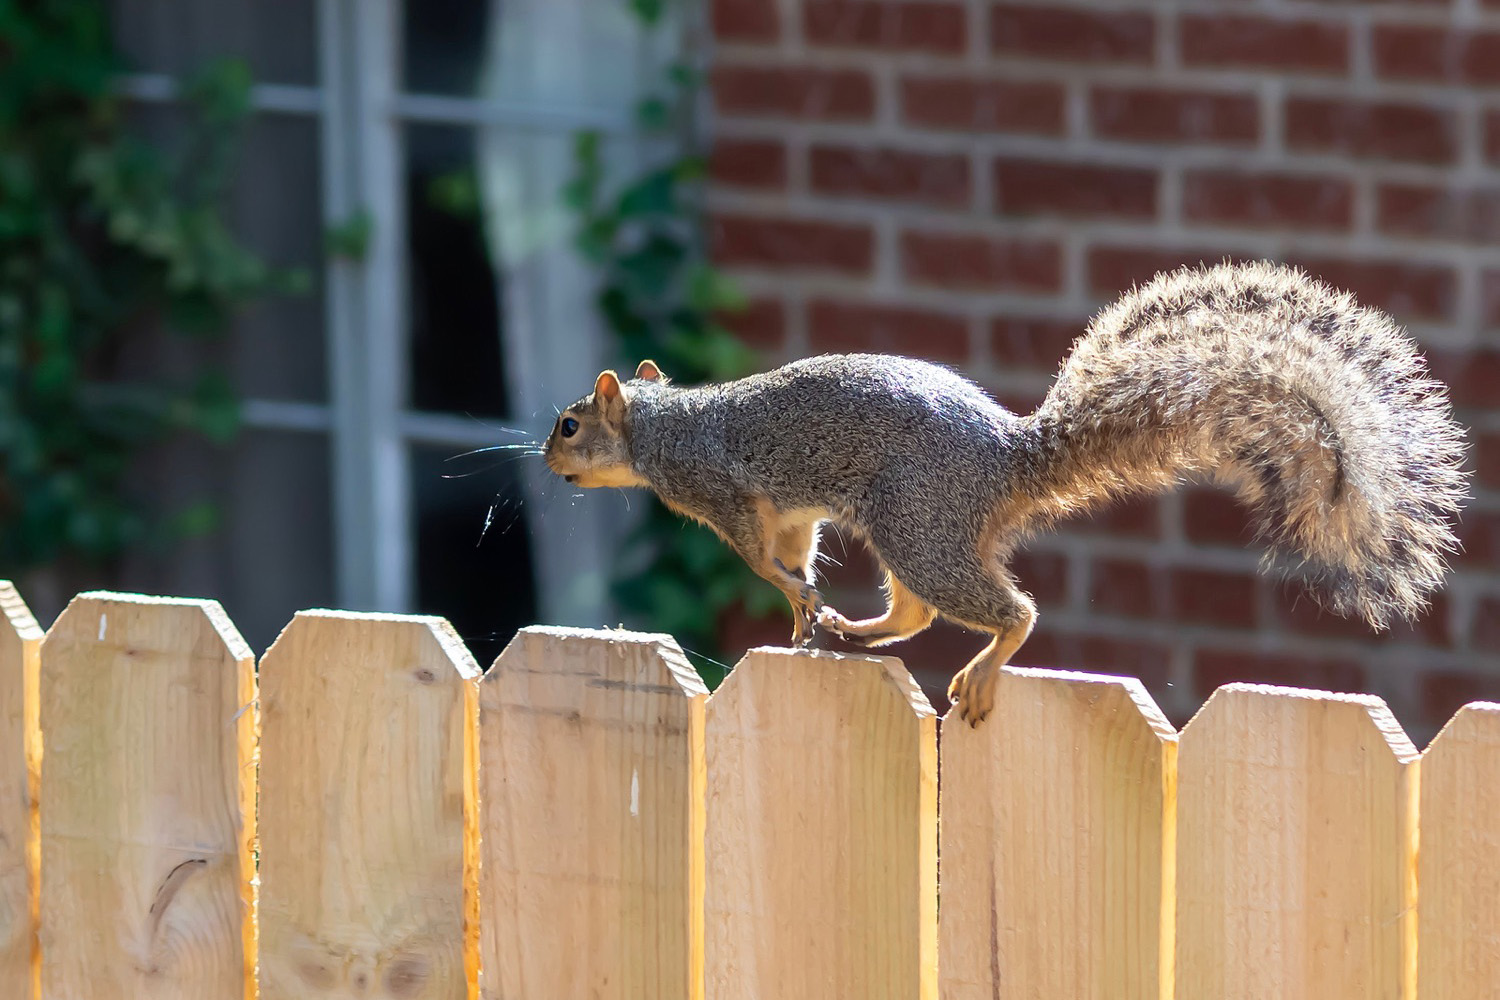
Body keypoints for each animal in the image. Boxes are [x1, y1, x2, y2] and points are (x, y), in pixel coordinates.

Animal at [543, 262, 1464, 722]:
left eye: (568, 425)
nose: (550, 466)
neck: (662, 425)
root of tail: (1004, 460)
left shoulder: (721, 490)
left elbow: (760, 555)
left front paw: (787, 594)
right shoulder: (790, 513)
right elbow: (796, 555)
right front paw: (803, 609)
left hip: (918, 523)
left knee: (1004, 611)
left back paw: (983, 664)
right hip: (916, 531)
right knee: (914, 614)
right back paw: (855, 628)